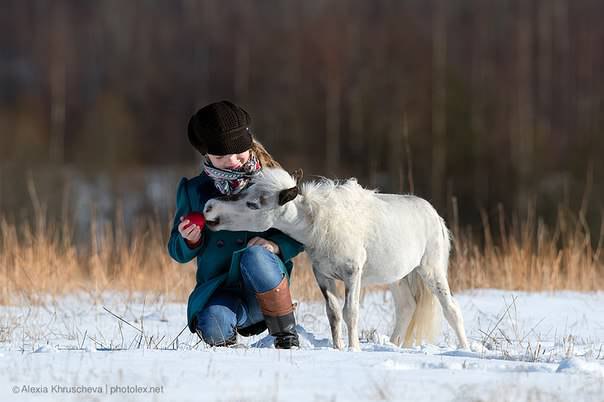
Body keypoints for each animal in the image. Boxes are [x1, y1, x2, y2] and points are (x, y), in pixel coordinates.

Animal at [205, 168, 470, 350]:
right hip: (398, 277)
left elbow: (350, 311)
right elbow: (333, 313)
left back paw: (465, 348)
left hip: (431, 270)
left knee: (452, 309)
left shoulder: (353, 274)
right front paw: (338, 348)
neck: (319, 224)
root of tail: (434, 214)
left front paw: (353, 349)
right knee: (407, 307)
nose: (209, 207)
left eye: (252, 204)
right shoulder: (323, 276)